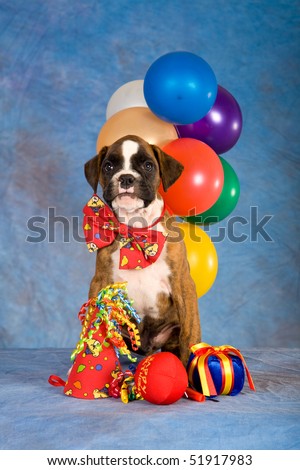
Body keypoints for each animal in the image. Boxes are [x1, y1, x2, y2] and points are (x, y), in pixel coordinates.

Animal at [84, 134, 202, 366]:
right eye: (109, 166)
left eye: (148, 165)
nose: (126, 178)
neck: (136, 228)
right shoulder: (99, 283)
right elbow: (91, 328)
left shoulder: (184, 285)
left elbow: (189, 334)